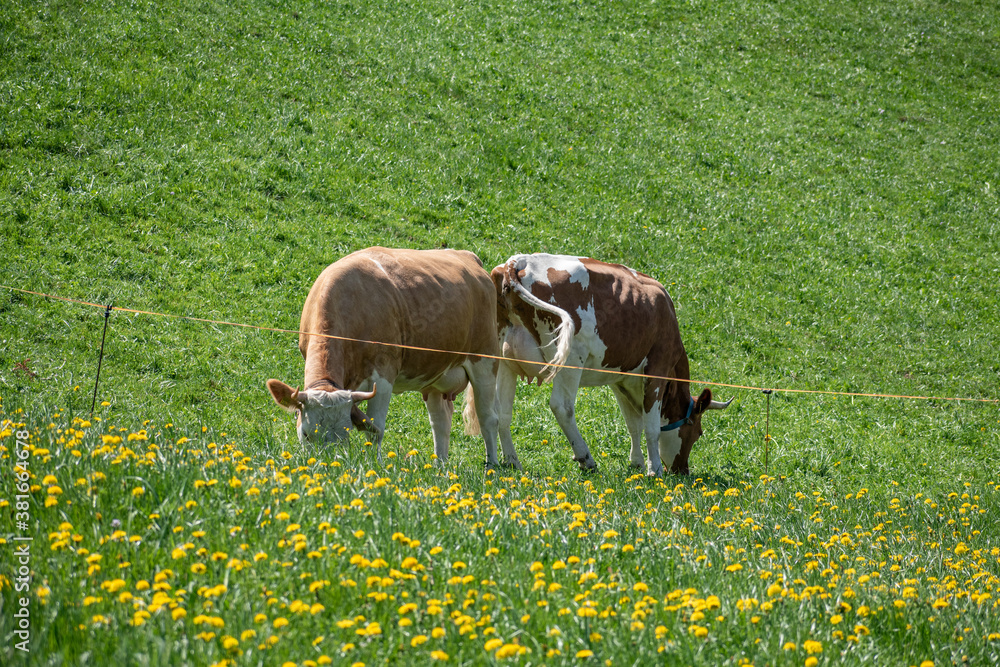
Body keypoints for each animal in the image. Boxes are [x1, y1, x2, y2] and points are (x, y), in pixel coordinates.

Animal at [266, 248, 516, 468]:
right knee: (440, 421)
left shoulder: (383, 376)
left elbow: (375, 429)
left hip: (484, 361)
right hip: (435, 376)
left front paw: (373, 465)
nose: (325, 465)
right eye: (306, 434)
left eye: (344, 435)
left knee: (488, 418)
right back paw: (440, 468)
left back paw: (492, 465)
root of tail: (468, 256)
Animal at [490, 253, 732, 478]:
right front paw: (654, 470)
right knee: (562, 406)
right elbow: (651, 426)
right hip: (572, 358)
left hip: (504, 360)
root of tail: (517, 261)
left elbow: (633, 424)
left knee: (502, 411)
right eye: (698, 432)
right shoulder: (658, 368)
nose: (683, 471)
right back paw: (586, 458)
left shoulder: (621, 379)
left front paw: (637, 463)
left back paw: (512, 461)